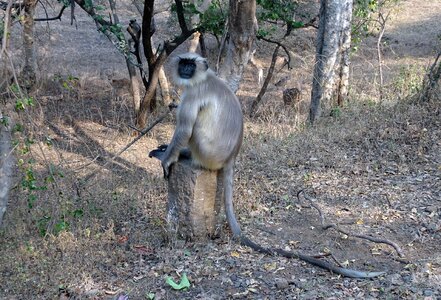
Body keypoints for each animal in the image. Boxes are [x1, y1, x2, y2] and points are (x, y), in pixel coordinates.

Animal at [152, 52, 384, 278]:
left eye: (191, 65)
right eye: (183, 63)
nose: (185, 69)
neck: (205, 78)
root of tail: (231, 156)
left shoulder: (194, 93)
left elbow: (184, 129)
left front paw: (167, 159)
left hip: (207, 151)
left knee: (193, 129)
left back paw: (183, 155)